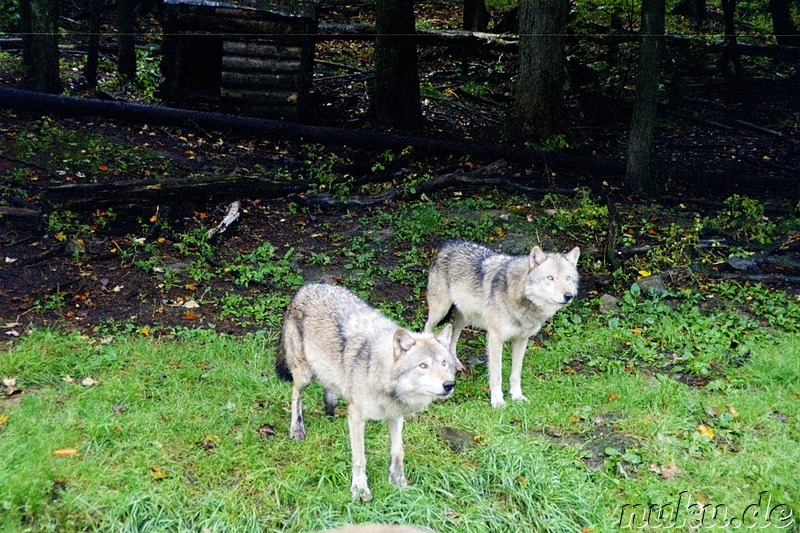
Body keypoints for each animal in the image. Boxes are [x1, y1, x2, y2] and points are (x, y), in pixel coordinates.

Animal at [276, 282, 456, 498]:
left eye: (444, 363)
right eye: (423, 365)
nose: (449, 385)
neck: (377, 372)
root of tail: (308, 286)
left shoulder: (395, 416)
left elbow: (398, 452)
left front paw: (399, 483)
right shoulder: (356, 417)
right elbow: (359, 458)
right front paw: (360, 489)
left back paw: (330, 407)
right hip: (304, 375)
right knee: (296, 394)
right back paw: (297, 428)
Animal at [422, 241, 580, 408]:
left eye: (568, 278)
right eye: (550, 278)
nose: (568, 296)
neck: (518, 296)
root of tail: (449, 244)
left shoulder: (522, 340)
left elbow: (516, 374)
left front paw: (517, 397)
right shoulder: (495, 339)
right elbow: (496, 375)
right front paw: (498, 401)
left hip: (464, 318)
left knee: (453, 335)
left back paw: (454, 363)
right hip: (439, 311)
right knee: (428, 328)